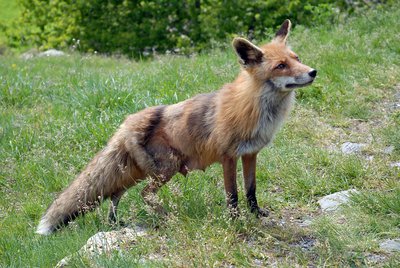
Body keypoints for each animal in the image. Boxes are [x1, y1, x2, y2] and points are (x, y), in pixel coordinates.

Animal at [36, 19, 316, 234]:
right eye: (281, 66)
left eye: (297, 58)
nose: (313, 72)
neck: (255, 109)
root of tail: (126, 124)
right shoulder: (228, 157)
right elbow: (233, 195)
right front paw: (235, 222)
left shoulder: (250, 153)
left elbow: (251, 190)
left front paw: (256, 214)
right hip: (164, 170)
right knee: (143, 195)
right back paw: (166, 216)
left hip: (139, 172)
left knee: (115, 193)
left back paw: (115, 223)